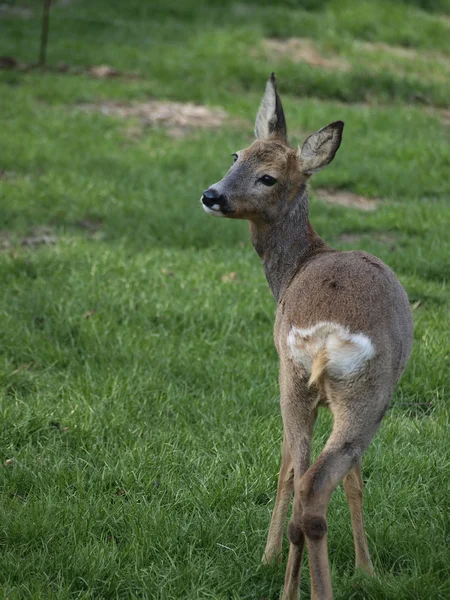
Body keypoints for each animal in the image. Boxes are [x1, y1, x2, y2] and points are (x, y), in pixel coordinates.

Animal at [199, 76, 414, 600]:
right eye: (236, 155)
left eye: (268, 177)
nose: (212, 195)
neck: (297, 265)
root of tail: (325, 335)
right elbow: (351, 480)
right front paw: (365, 569)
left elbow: (306, 473)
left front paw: (276, 558)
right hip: (364, 394)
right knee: (311, 484)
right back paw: (314, 586)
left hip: (296, 380)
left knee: (300, 479)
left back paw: (290, 588)